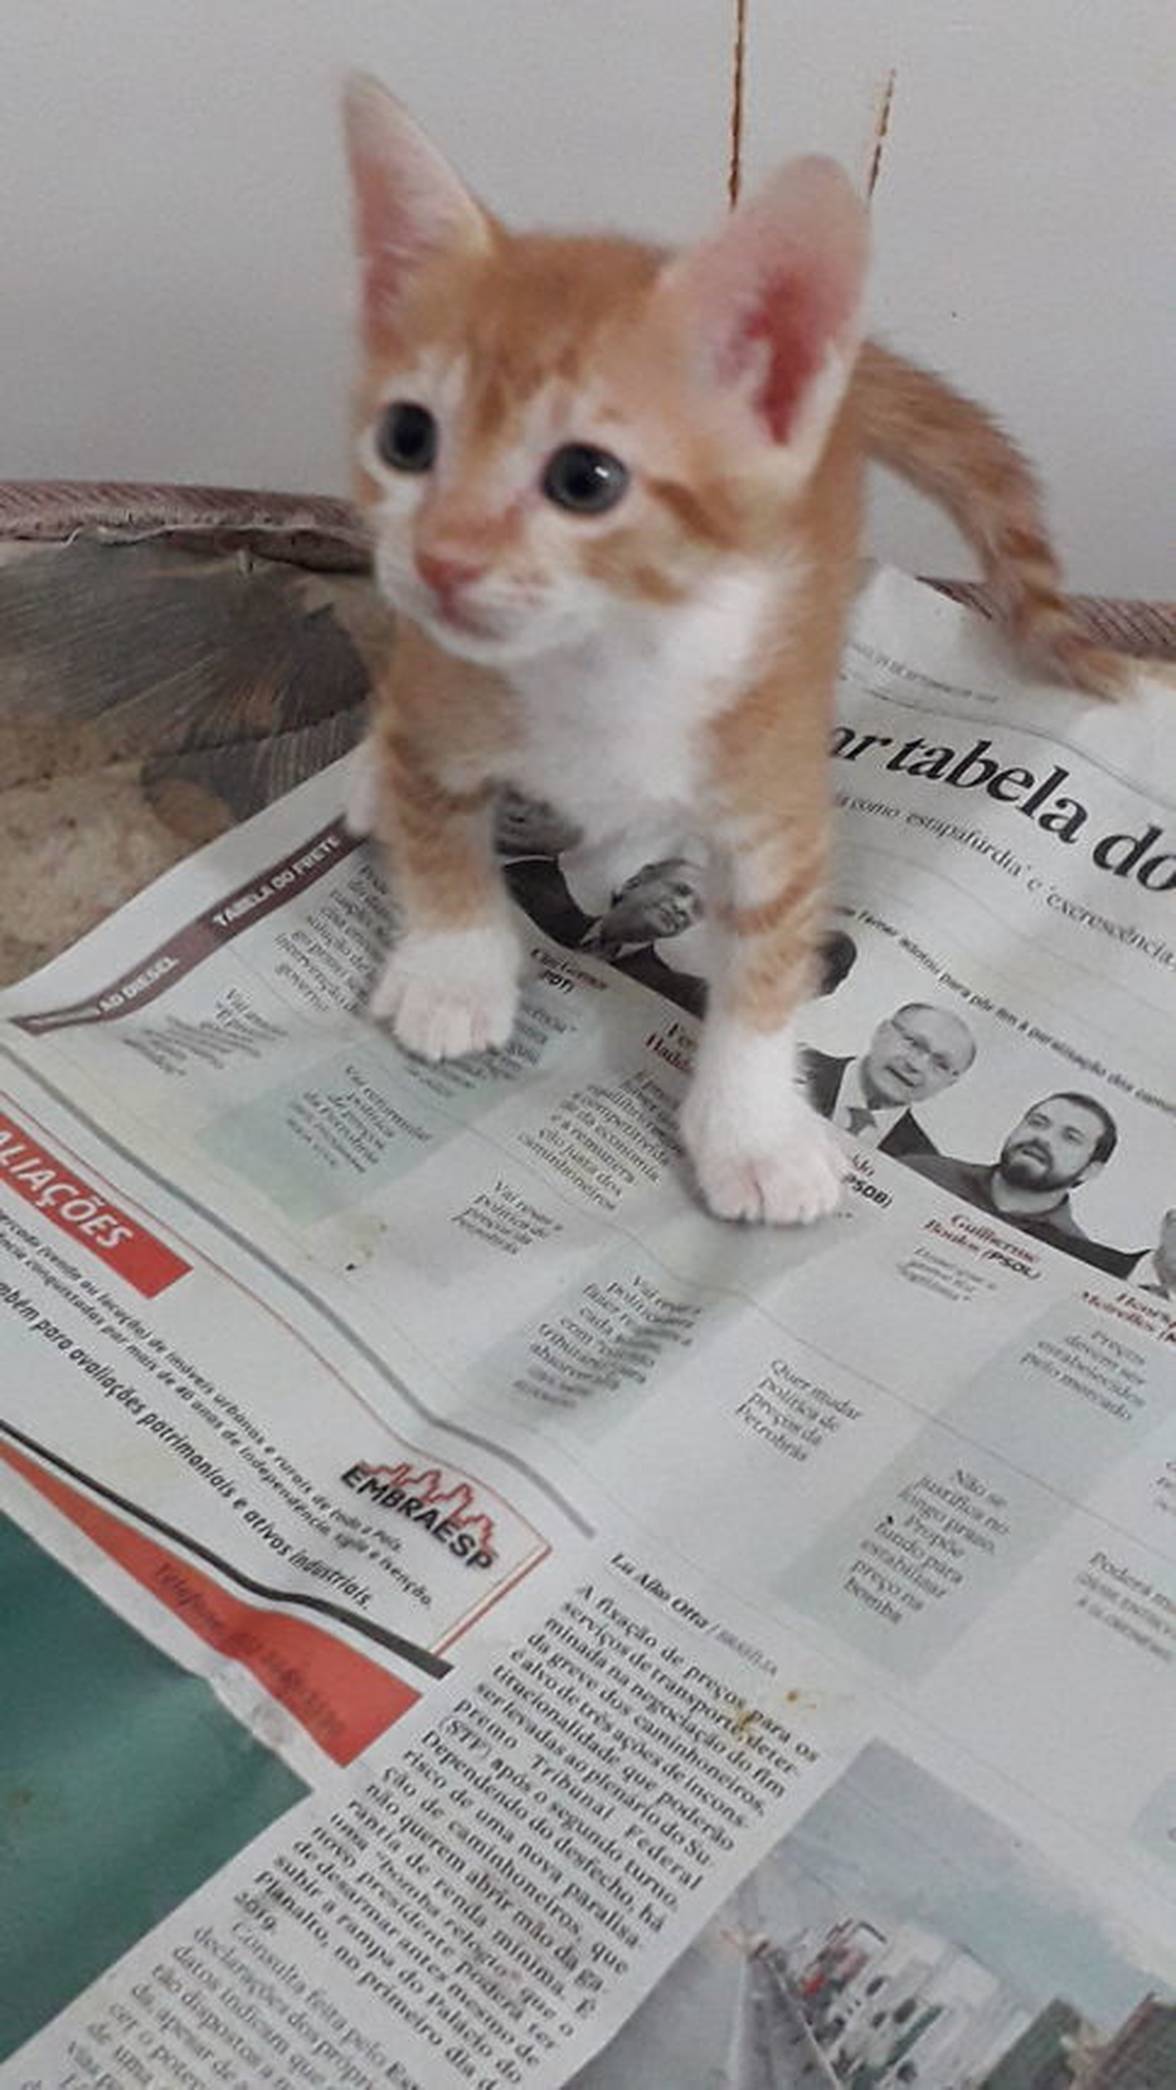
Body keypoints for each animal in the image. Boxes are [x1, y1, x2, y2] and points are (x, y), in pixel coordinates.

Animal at [339, 72, 1131, 1228]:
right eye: (407, 438)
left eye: (585, 479)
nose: (440, 559)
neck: (605, 659)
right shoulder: (444, 688)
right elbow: (441, 826)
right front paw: (455, 970)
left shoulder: (776, 790)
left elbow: (766, 971)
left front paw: (754, 1131)